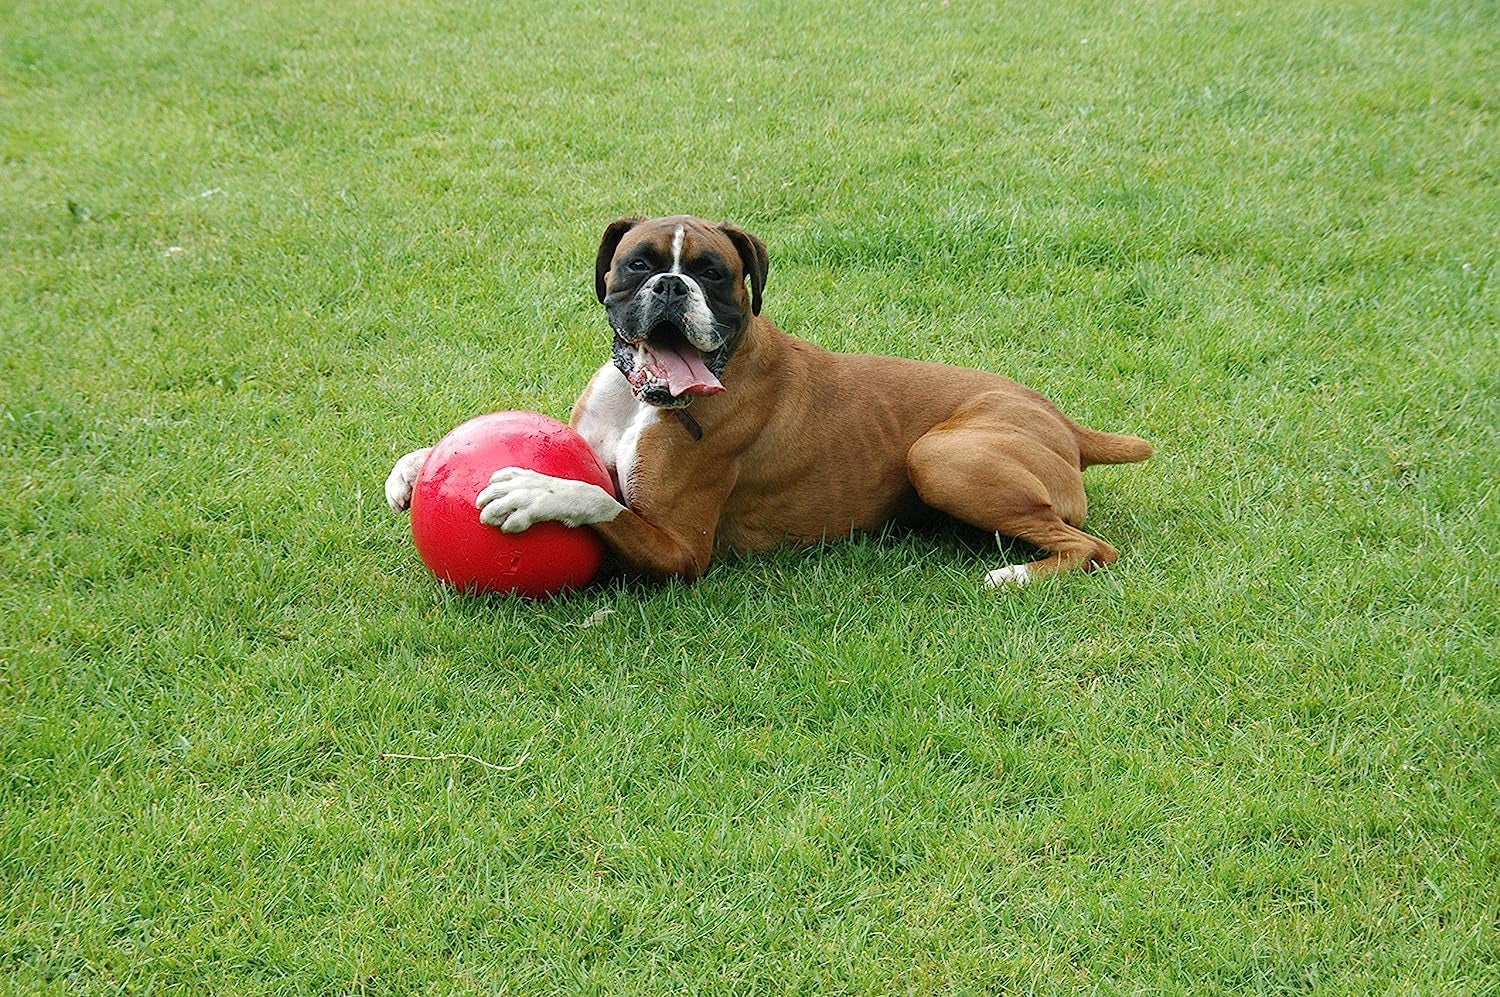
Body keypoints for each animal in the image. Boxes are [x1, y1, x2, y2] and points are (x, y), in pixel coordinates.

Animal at [384, 209, 1146, 584]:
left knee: (1092, 547)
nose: (671, 285)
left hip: (941, 457)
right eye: (638, 264)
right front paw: (418, 464)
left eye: (714, 274)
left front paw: (539, 491)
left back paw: (1014, 575)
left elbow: (598, 499)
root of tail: (1065, 422)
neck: (644, 399)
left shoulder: (682, 553)